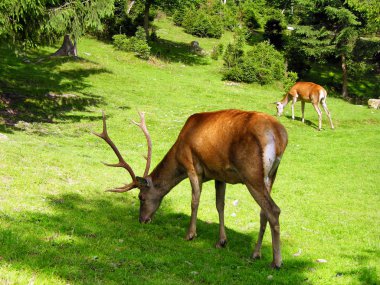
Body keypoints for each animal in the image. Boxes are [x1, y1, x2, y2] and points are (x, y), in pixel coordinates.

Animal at [93, 108, 286, 266]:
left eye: (141, 197)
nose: (142, 220)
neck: (178, 151)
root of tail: (279, 136)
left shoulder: (191, 166)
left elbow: (195, 201)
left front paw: (190, 234)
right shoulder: (219, 175)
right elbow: (220, 205)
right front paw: (221, 241)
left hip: (251, 173)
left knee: (273, 209)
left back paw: (276, 261)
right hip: (271, 175)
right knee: (263, 212)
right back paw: (256, 253)